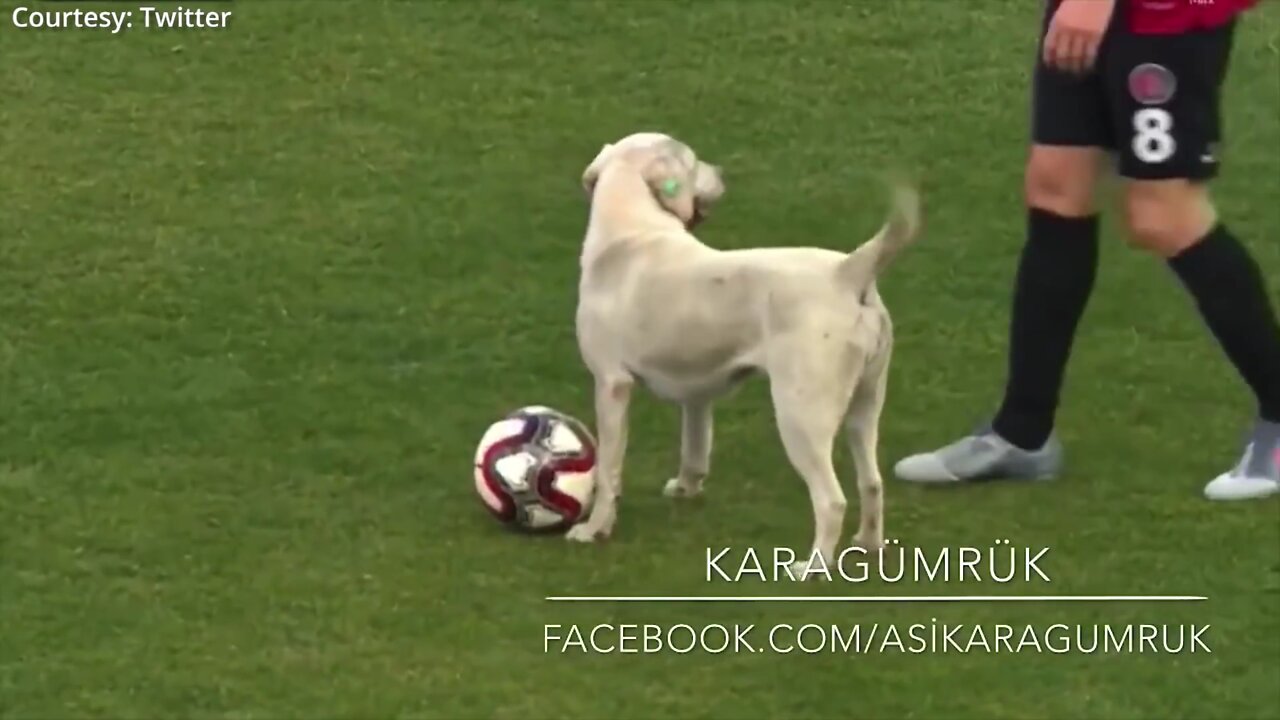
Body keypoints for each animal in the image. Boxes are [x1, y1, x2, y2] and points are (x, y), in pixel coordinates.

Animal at [573, 131, 921, 573]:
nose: (722, 172)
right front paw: (686, 488)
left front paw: (594, 529)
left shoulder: (610, 385)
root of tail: (847, 272)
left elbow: (608, 470)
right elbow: (695, 446)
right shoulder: (696, 392)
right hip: (866, 406)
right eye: (694, 162)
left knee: (831, 500)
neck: (632, 232)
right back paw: (868, 544)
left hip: (800, 417)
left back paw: (813, 568)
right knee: (872, 482)